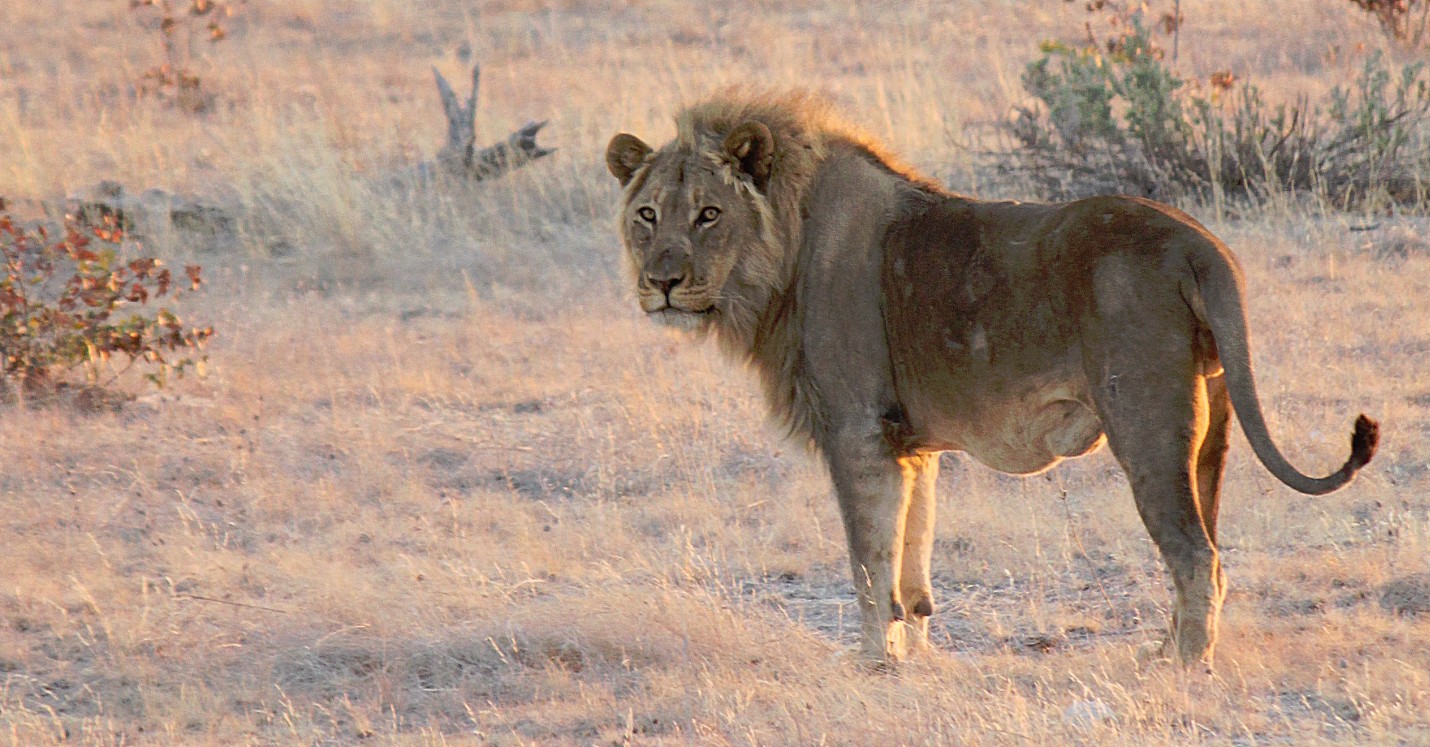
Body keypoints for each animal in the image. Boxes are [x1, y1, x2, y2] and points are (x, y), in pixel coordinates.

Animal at [600, 90, 1372, 666]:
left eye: (709, 214)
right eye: (647, 215)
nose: (661, 283)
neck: (782, 255)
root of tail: (1198, 241)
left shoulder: (857, 433)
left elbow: (867, 562)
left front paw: (871, 664)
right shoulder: (909, 445)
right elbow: (912, 560)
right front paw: (916, 654)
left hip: (1145, 425)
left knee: (1193, 554)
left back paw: (1182, 667)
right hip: (1210, 428)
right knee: (1211, 546)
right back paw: (1164, 649)